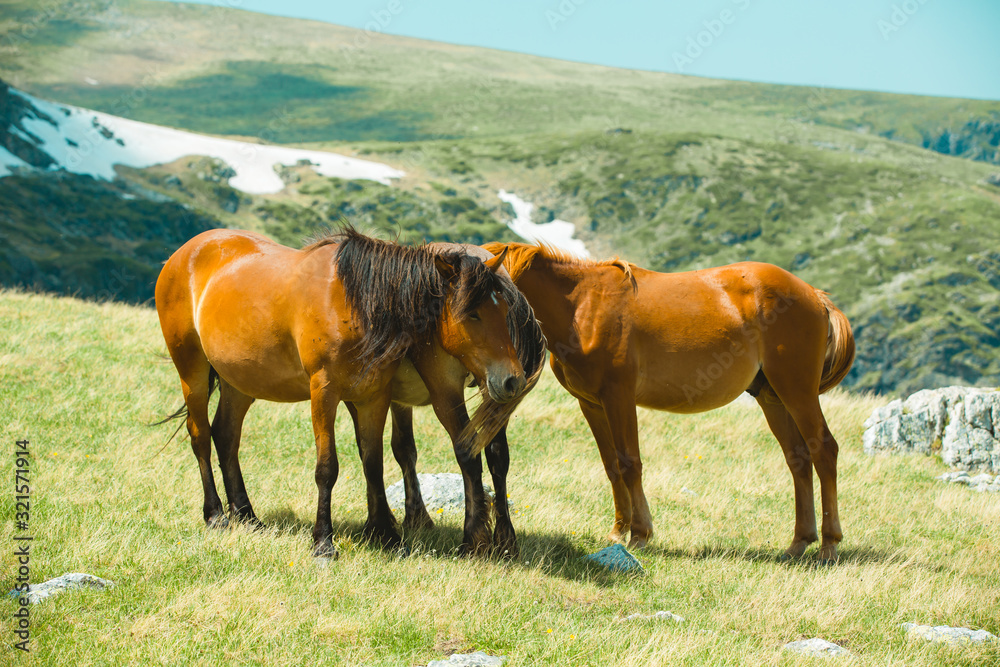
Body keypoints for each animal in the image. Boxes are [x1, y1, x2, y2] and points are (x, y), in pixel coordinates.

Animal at [155, 230, 540, 560]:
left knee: (226, 436)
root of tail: (185, 252)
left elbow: (374, 461)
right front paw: (324, 542)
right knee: (201, 436)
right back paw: (216, 515)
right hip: (192, 371)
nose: (512, 379)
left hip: (239, 382)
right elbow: (328, 467)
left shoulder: (373, 395)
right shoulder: (324, 392)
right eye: (472, 313)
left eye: (504, 310)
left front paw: (385, 534)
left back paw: (247, 515)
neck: (353, 304)